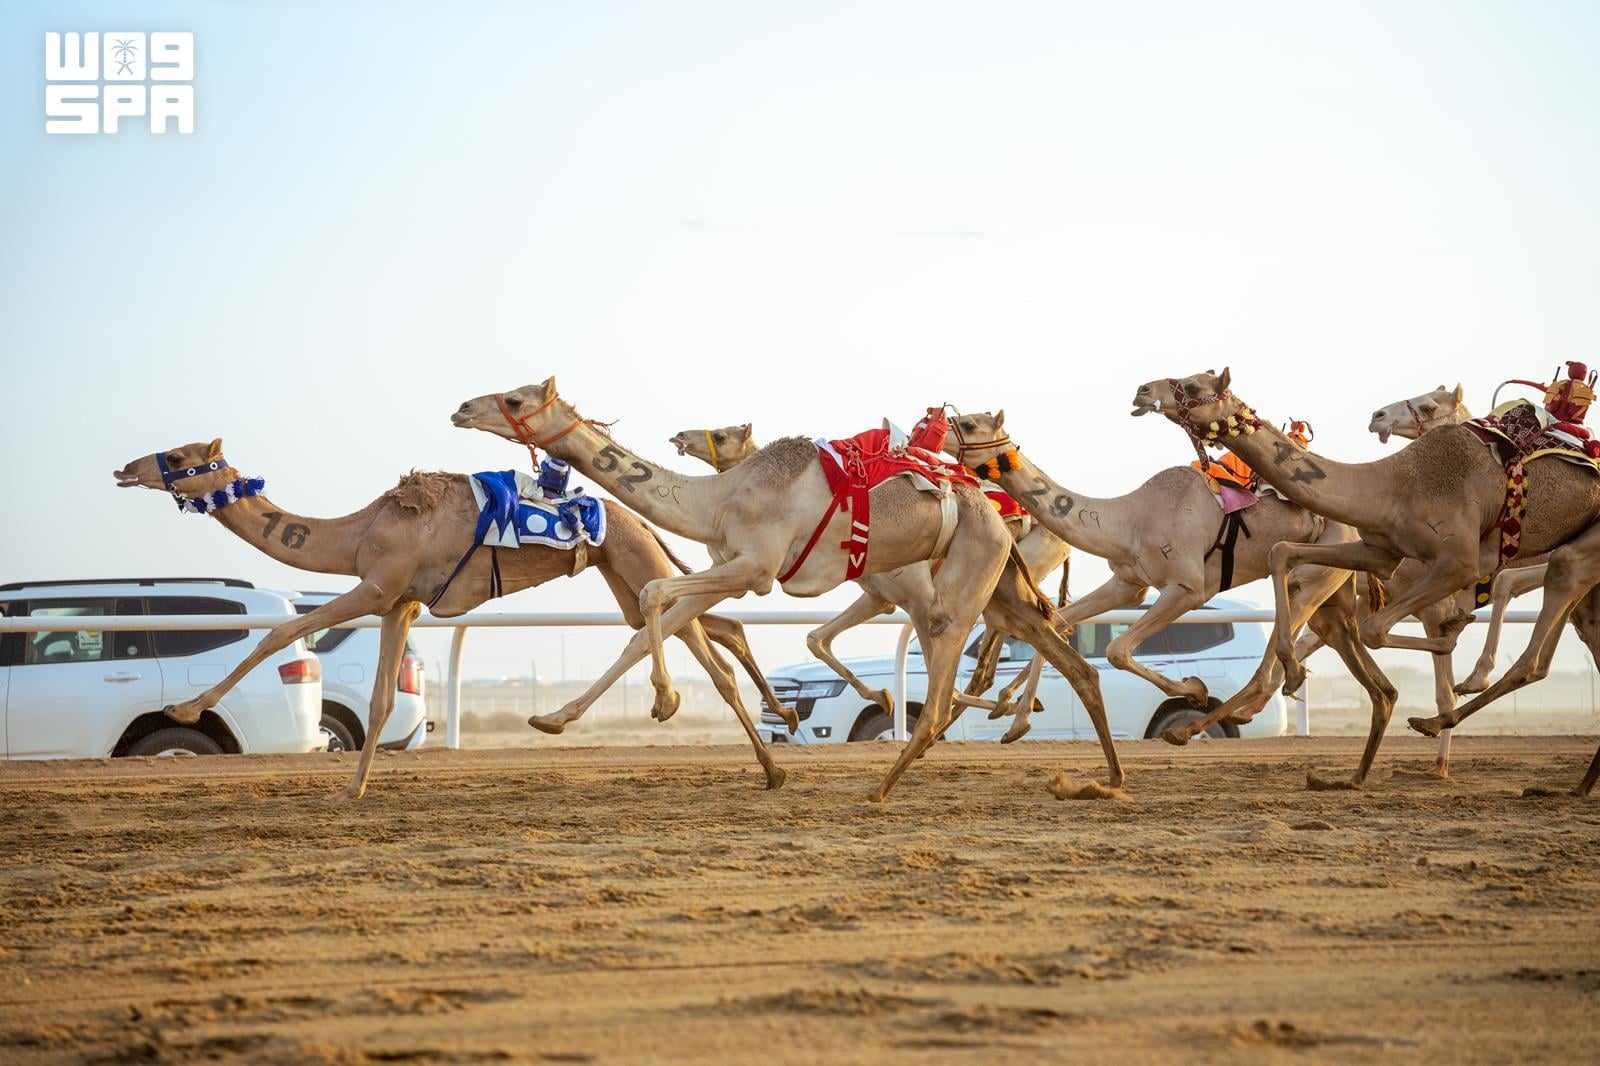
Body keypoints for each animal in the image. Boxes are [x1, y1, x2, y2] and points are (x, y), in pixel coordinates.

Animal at [113, 439, 796, 799]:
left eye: (178, 455)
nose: (125, 467)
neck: (357, 532)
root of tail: (640, 520)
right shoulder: (401, 602)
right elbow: (382, 700)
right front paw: (354, 789)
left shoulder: (376, 586)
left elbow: (283, 630)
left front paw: (185, 709)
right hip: (620, 568)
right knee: (701, 624)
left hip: (632, 552)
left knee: (703, 648)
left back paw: (736, 744)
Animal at [670, 422, 1068, 736]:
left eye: (721, 435)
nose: (680, 436)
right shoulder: (879, 594)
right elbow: (817, 638)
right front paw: (885, 698)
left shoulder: (911, 597)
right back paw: (1012, 707)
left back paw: (1015, 711)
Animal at [1133, 368, 1600, 795]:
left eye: (1193, 385)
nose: (1141, 390)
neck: (1395, 486)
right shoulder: (1380, 552)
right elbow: (1282, 554)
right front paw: (1289, 676)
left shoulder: (1458, 563)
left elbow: (1383, 632)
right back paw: (1574, 786)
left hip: (1572, 556)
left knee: (1533, 647)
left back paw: (1441, 715)